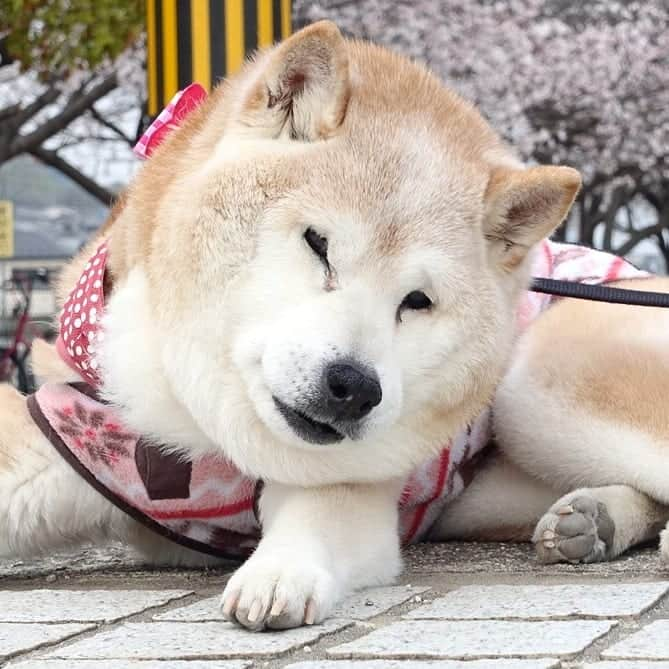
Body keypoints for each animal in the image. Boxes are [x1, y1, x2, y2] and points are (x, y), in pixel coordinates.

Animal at [2, 22, 664, 632]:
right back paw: (593, 520)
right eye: (318, 245)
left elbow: (313, 523)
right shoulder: (76, 431)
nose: (354, 387)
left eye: (417, 301)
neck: (206, 435)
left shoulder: (350, 486)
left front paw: (276, 575)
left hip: (537, 380)